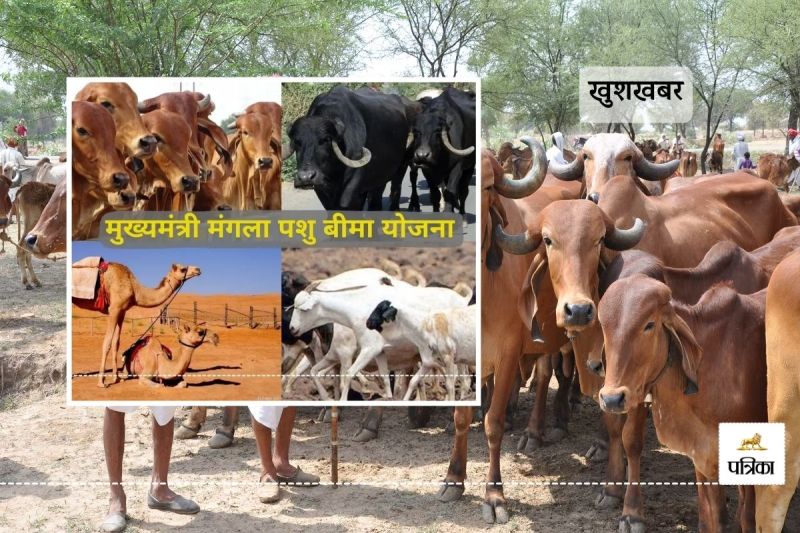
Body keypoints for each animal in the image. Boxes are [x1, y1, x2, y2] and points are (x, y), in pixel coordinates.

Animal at [598, 276, 767, 532]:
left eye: (649, 325)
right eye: (604, 327)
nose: (611, 398)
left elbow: (749, 516)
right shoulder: (701, 451)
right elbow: (712, 516)